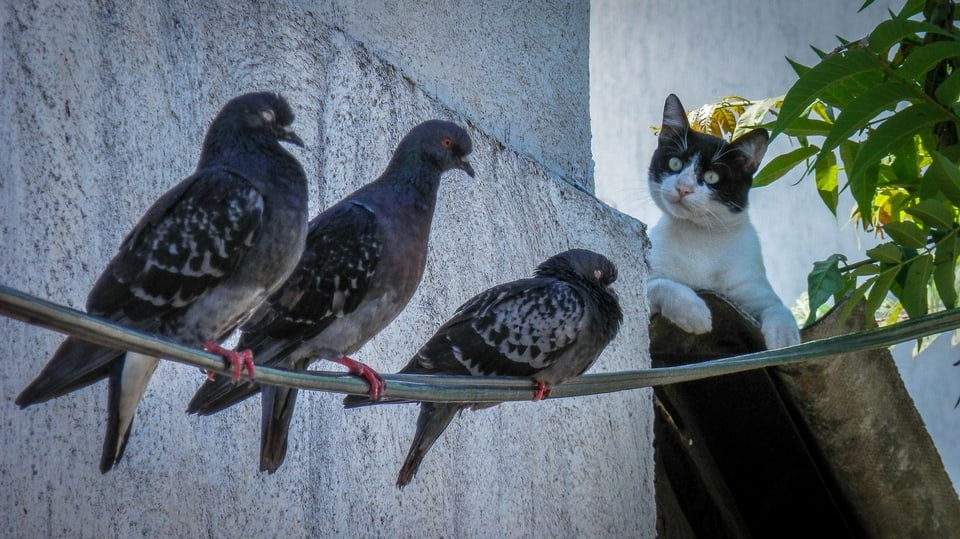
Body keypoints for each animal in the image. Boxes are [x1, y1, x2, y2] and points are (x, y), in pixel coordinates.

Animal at [648, 94, 800, 350]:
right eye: (675, 164)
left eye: (712, 177)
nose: (683, 188)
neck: (701, 237)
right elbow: (660, 284)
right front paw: (694, 311)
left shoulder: (752, 286)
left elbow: (778, 307)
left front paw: (785, 338)